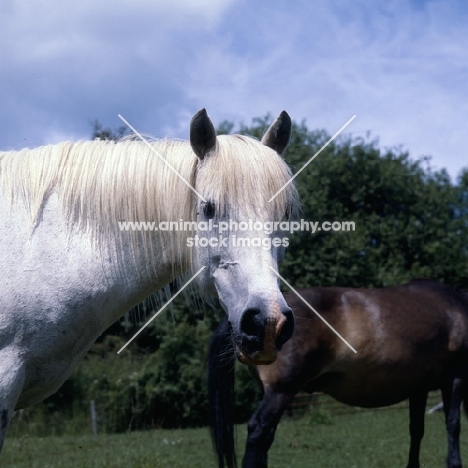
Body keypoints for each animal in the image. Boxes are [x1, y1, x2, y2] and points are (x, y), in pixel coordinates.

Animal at [209, 280, 468, 466]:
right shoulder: (455, 377)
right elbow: (453, 424)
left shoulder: (419, 388)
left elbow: (417, 430)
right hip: (280, 391)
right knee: (259, 432)